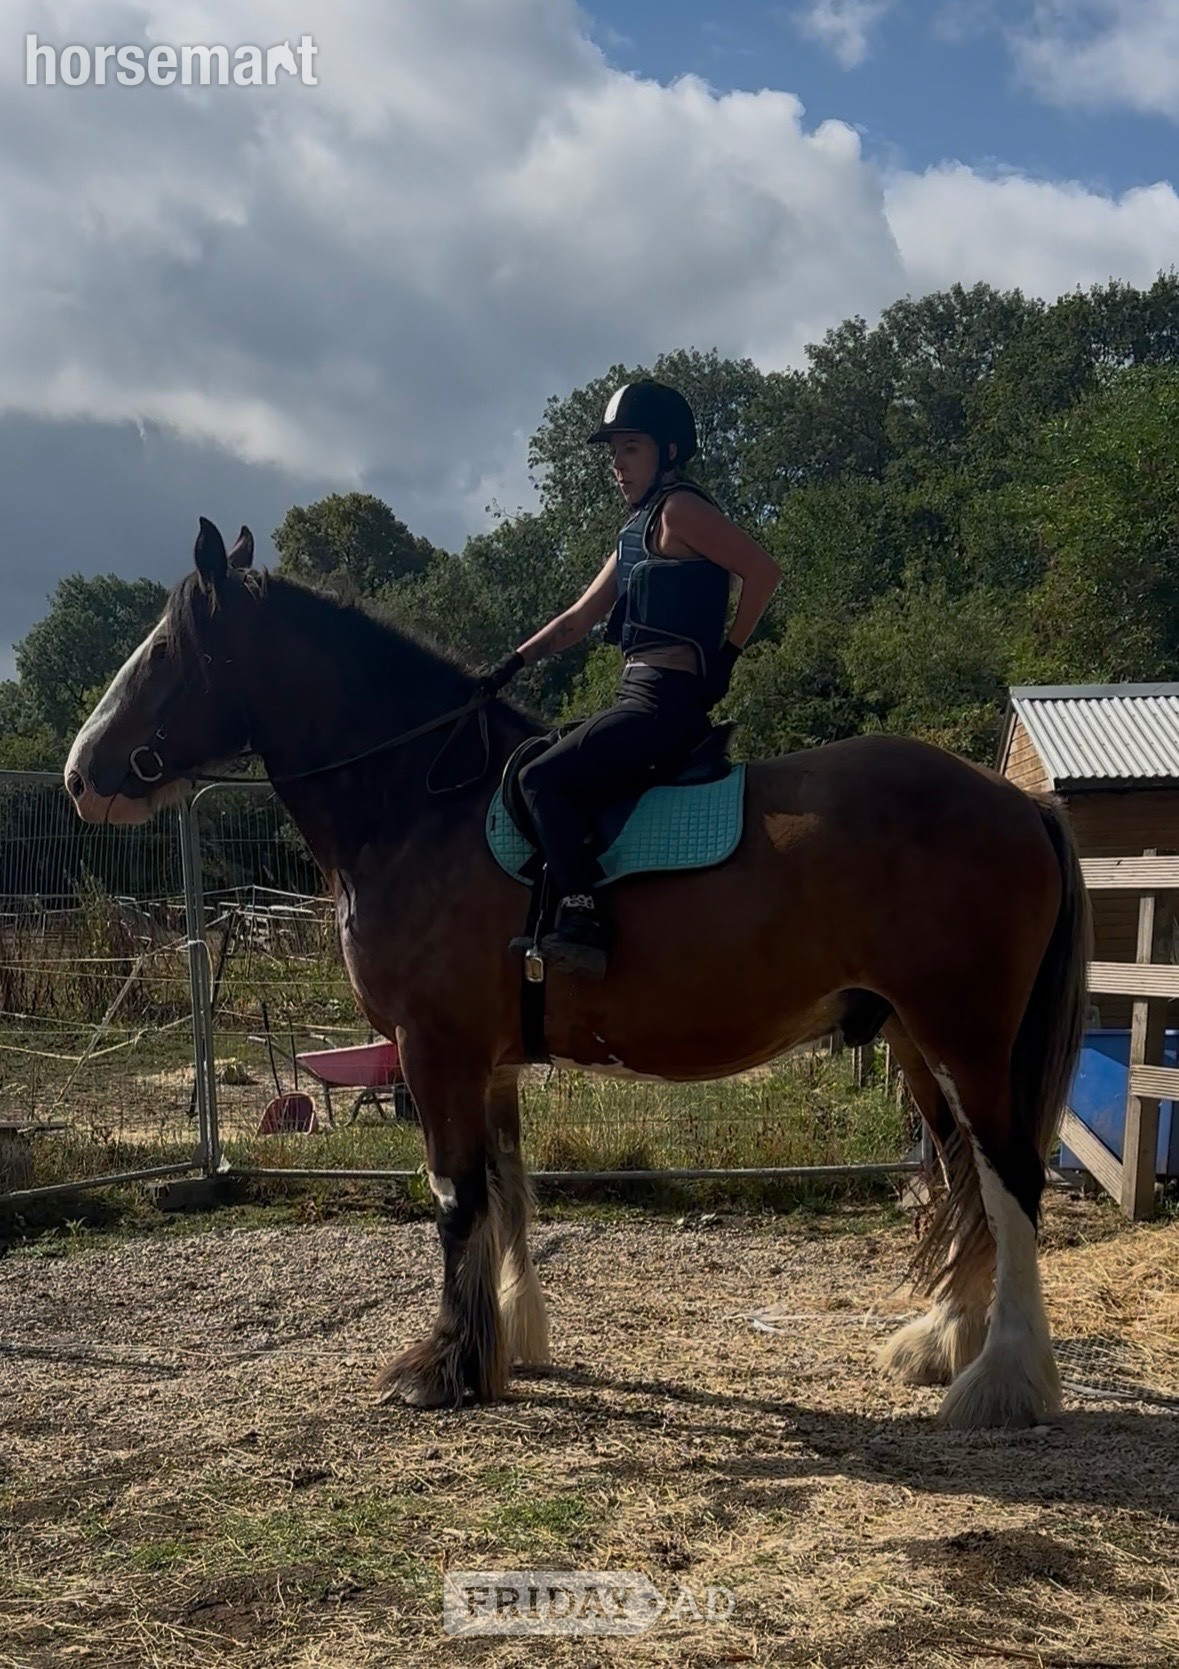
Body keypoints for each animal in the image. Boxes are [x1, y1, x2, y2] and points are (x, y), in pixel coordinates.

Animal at [64, 519, 1090, 1429]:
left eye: (165, 649)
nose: (80, 773)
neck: (422, 805)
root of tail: (1013, 800)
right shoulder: (488, 1061)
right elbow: (509, 1192)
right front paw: (506, 1340)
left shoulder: (435, 1052)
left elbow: (455, 1200)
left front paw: (442, 1365)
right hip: (916, 1043)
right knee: (961, 1178)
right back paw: (944, 1340)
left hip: (965, 1040)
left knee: (1008, 1179)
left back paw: (1003, 1381)